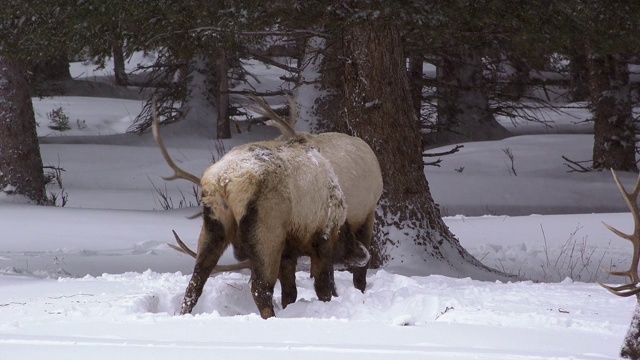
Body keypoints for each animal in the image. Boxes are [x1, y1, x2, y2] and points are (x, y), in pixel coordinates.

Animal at [153, 101, 348, 318]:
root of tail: (223, 181)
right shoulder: (324, 234)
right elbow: (323, 286)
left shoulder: (289, 249)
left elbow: (290, 293)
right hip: (266, 230)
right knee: (260, 288)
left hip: (214, 225)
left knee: (195, 282)